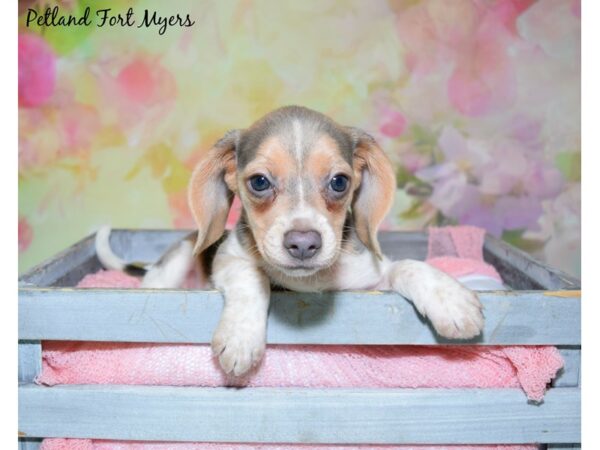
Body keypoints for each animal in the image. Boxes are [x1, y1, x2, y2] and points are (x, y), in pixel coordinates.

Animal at [96, 107, 486, 378]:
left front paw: (450, 300)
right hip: (175, 263)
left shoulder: (370, 279)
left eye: (340, 182)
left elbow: (408, 266)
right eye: (259, 182)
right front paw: (241, 337)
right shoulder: (230, 260)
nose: (303, 243)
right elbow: (253, 277)